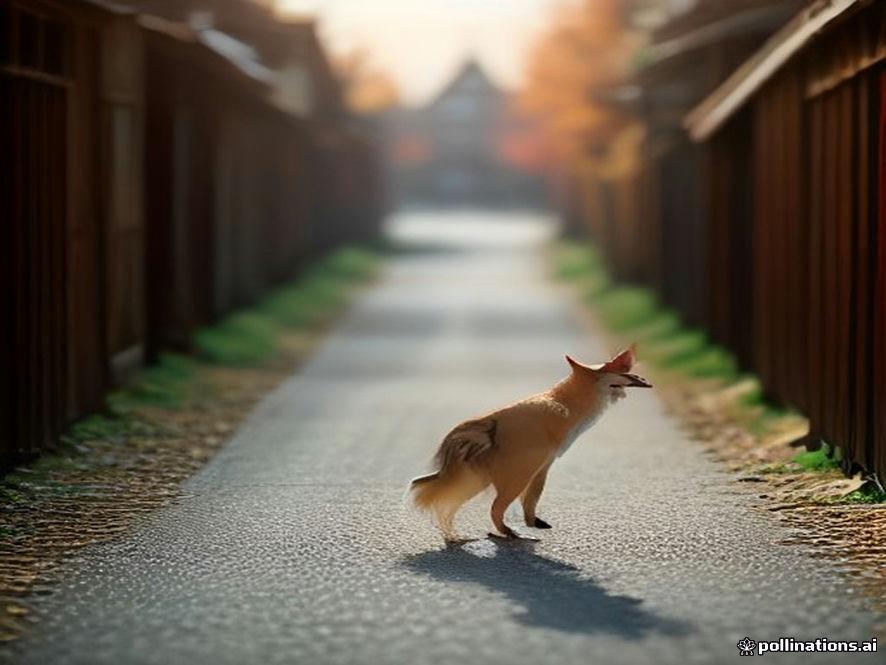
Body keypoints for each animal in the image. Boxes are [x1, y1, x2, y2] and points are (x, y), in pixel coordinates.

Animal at [409, 345, 651, 540]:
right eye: (618, 370)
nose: (644, 379)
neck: (568, 407)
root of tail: (489, 424)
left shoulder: (543, 466)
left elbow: (531, 500)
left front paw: (533, 522)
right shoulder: (536, 465)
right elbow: (528, 499)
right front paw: (525, 528)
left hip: (483, 479)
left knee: (456, 505)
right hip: (512, 477)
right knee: (493, 508)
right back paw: (509, 533)